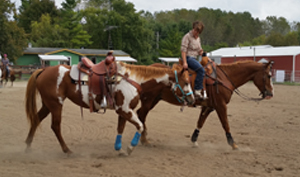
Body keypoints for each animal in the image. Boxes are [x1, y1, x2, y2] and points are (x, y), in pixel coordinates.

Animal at [25, 57, 195, 156]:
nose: (193, 98)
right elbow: (140, 126)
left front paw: (119, 148)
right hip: (55, 105)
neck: (133, 79)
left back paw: (28, 146)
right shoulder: (125, 110)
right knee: (55, 126)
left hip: (48, 104)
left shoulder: (123, 111)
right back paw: (67, 150)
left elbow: (121, 128)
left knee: (36, 119)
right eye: (186, 82)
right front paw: (130, 148)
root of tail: (44, 69)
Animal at [137, 59, 274, 149]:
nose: (270, 94)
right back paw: (144, 140)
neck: (223, 78)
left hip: (154, 100)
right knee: (142, 115)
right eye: (268, 75)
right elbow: (225, 124)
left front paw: (194, 140)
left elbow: (200, 122)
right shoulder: (221, 106)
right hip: (149, 100)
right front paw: (233, 143)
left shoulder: (209, 107)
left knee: (140, 114)